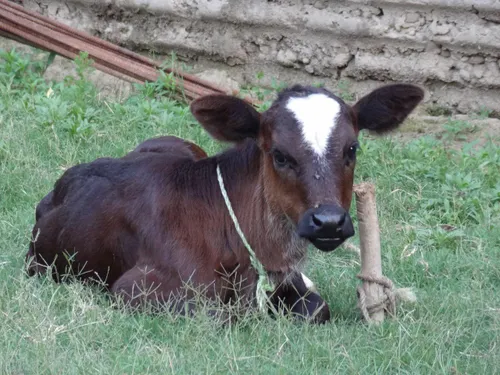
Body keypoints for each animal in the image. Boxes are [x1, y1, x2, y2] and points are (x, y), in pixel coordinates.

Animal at [25, 83, 424, 324]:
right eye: (279, 155)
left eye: (351, 149)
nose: (328, 221)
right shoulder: (136, 288)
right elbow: (223, 313)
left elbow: (316, 308)